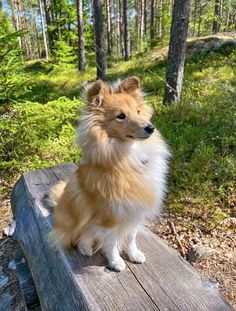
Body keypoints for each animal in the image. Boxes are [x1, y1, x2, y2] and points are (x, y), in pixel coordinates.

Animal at [48, 77, 169, 272]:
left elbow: (131, 237)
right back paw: (85, 249)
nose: (150, 128)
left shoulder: (134, 211)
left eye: (138, 111)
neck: (127, 156)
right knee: (80, 236)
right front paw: (116, 261)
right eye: (121, 116)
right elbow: (111, 242)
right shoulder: (109, 217)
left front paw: (134, 254)